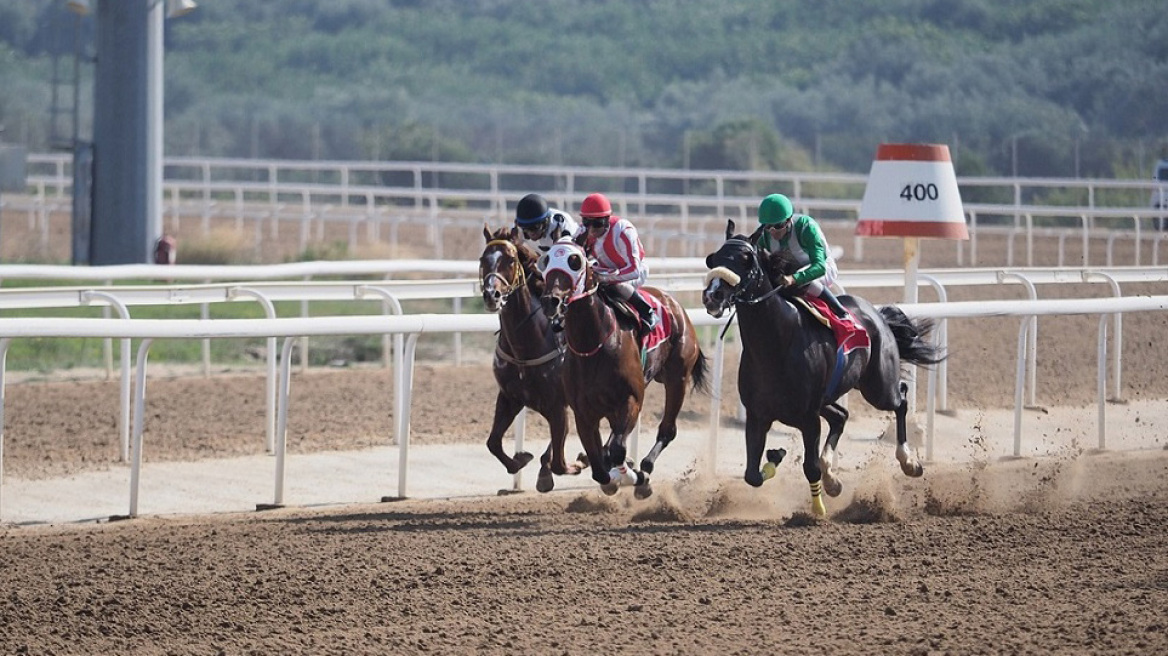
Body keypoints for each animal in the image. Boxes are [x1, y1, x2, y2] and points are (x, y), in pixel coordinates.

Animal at [537, 240, 710, 494]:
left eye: (574, 261)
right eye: (546, 260)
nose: (551, 300)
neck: (593, 345)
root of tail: (675, 305)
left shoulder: (630, 399)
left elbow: (618, 448)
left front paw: (635, 477)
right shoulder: (583, 412)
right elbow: (599, 465)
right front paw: (607, 476)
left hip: (677, 378)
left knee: (667, 429)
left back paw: (645, 467)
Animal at [700, 219, 939, 515]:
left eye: (746, 259)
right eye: (714, 258)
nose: (713, 295)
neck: (775, 344)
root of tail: (876, 314)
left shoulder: (808, 418)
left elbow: (809, 467)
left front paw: (818, 510)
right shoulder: (758, 415)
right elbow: (752, 475)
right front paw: (778, 456)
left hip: (878, 387)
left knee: (901, 399)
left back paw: (909, 462)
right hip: (830, 396)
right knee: (841, 416)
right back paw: (833, 478)